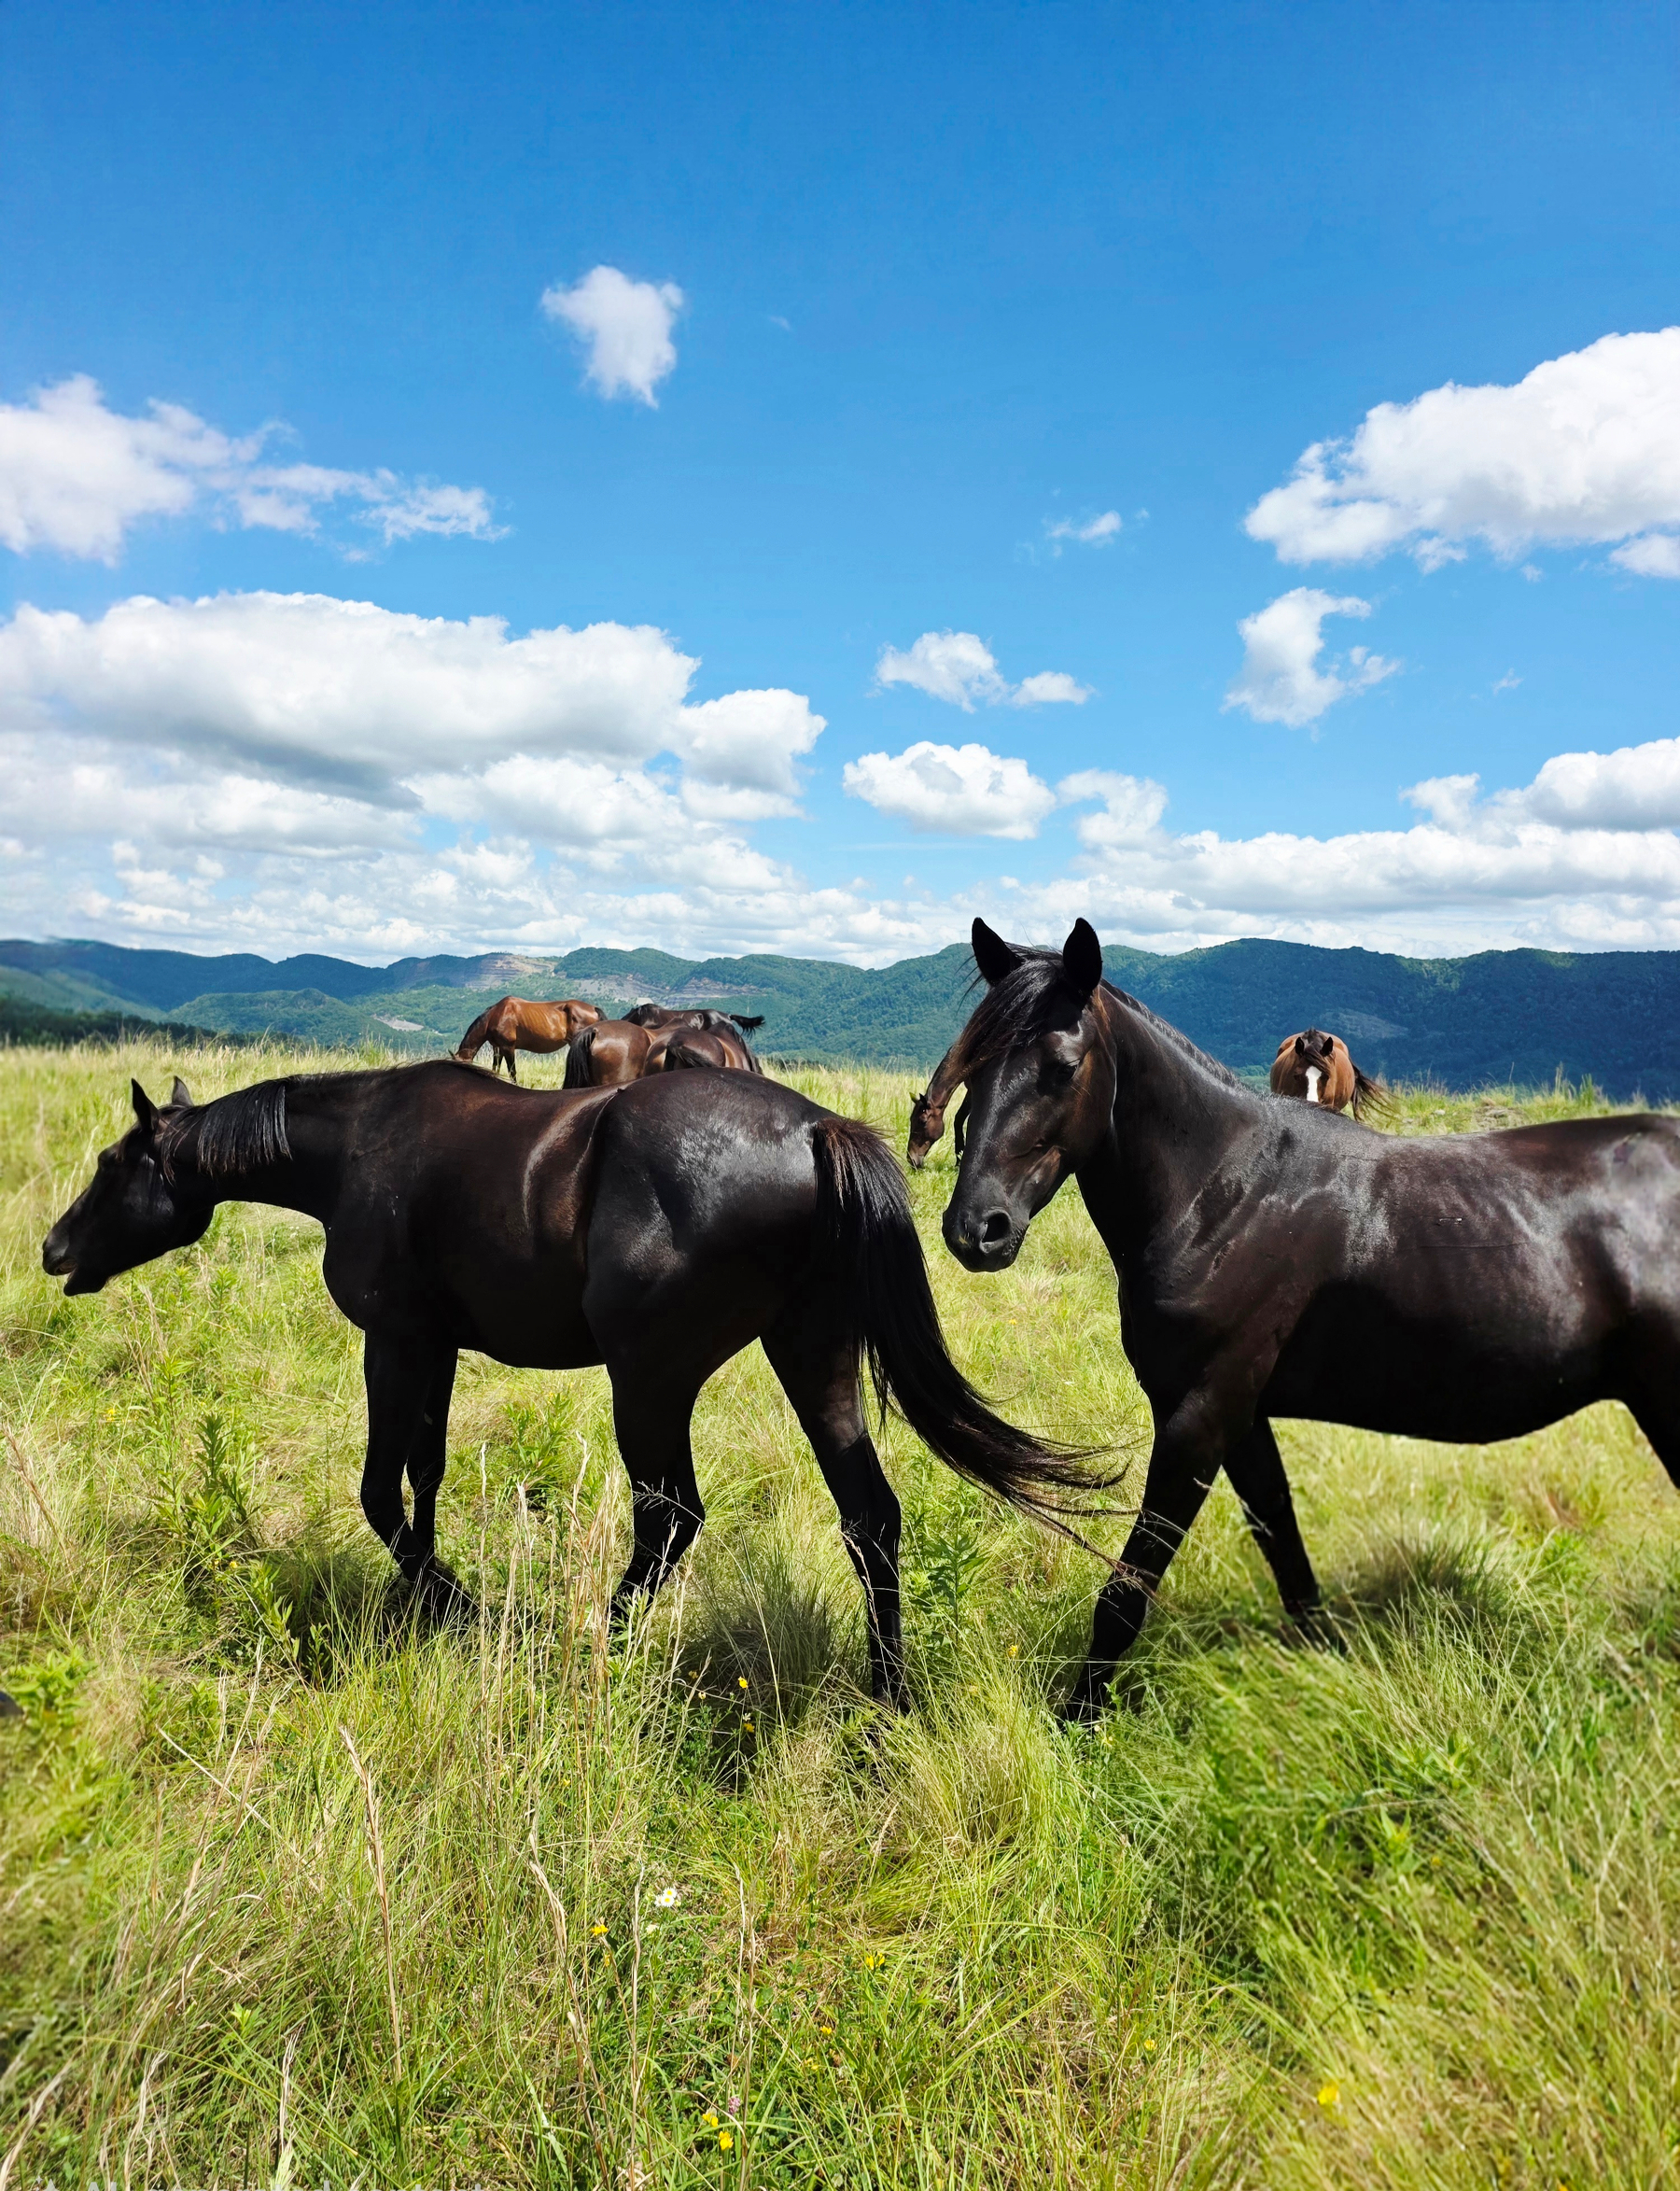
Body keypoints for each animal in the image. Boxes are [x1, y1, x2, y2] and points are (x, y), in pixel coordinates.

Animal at [41, 1064, 1104, 1706]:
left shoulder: (394, 1342)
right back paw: (887, 1693)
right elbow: (425, 1474)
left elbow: (381, 1490)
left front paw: (454, 1603)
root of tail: (816, 1130)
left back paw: (602, 1645)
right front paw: (424, 1599)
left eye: (111, 1162)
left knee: (669, 1515)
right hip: (813, 1358)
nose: (53, 1248)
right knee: (869, 1516)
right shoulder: (437, 1349)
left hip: (651, 1382)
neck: (357, 1149)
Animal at [454, 996, 603, 1081]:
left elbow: (512, 1072)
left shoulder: (508, 1048)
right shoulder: (497, 1048)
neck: (495, 1015)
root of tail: (593, 1008)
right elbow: (495, 1069)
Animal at [936, 916, 1680, 1720]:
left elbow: (1127, 1590)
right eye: (973, 1063)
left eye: (1063, 1066)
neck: (1227, 1192)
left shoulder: (1200, 1414)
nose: (976, 1228)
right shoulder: (1238, 1415)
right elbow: (1282, 1539)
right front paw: (1329, 1660)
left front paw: (1079, 1719)